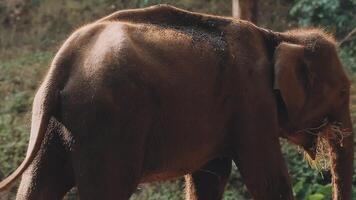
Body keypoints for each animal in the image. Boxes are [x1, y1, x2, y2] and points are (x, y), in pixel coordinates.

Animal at [0, 4, 354, 200]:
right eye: (342, 92)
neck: (280, 36)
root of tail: (64, 61)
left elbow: (210, 177)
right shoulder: (253, 101)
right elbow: (268, 180)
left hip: (56, 123)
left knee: (38, 185)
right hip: (106, 122)